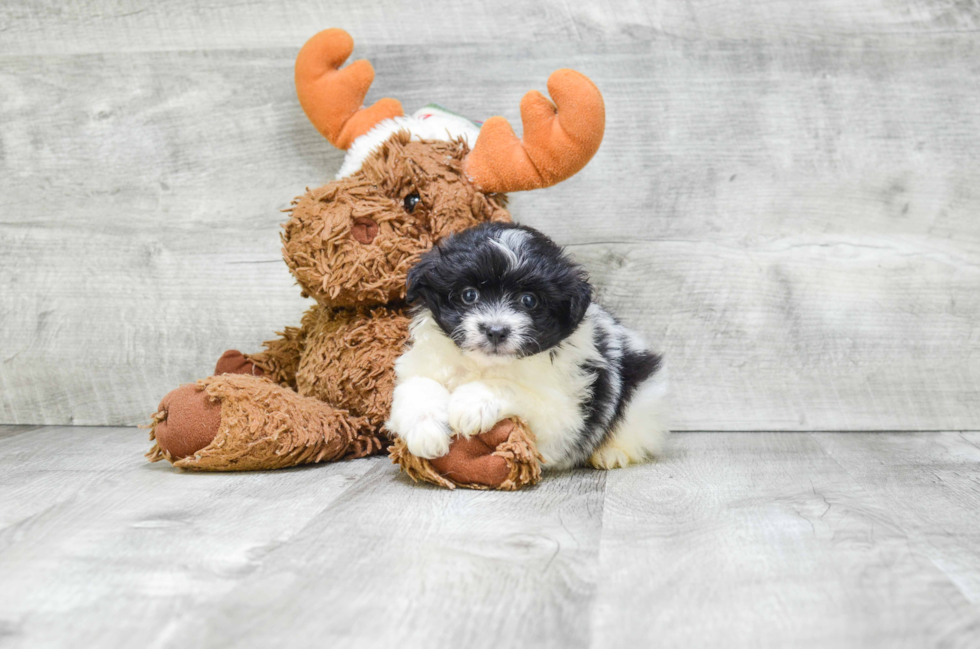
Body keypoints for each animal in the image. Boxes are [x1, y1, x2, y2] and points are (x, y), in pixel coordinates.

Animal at [386, 221, 668, 466]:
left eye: (529, 300)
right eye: (469, 295)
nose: (496, 331)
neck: (485, 365)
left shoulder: (563, 416)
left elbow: (512, 389)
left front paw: (471, 403)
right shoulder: (421, 365)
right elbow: (418, 385)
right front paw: (425, 431)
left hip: (642, 397)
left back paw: (611, 454)